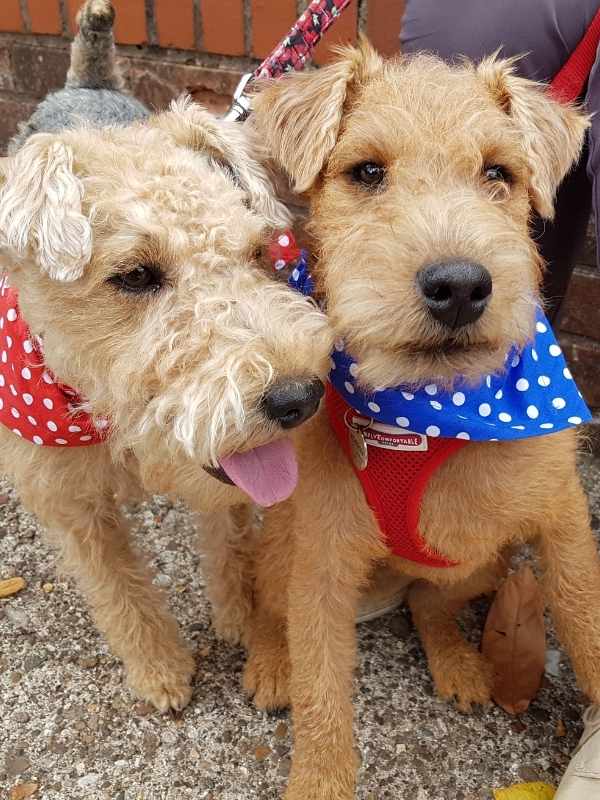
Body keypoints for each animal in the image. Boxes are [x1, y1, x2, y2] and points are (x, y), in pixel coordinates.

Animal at [0, 0, 330, 712]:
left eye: (258, 252)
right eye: (134, 275)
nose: (299, 398)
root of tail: (87, 83)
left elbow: (231, 541)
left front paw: (246, 625)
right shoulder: (72, 505)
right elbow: (120, 591)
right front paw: (160, 672)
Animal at [245, 40, 600, 796]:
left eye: (498, 173)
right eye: (367, 171)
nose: (459, 287)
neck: (432, 408)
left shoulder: (562, 519)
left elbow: (586, 622)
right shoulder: (321, 557)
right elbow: (321, 699)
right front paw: (317, 774)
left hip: (480, 559)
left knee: (432, 606)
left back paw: (459, 664)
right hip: (285, 544)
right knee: (268, 605)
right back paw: (268, 663)